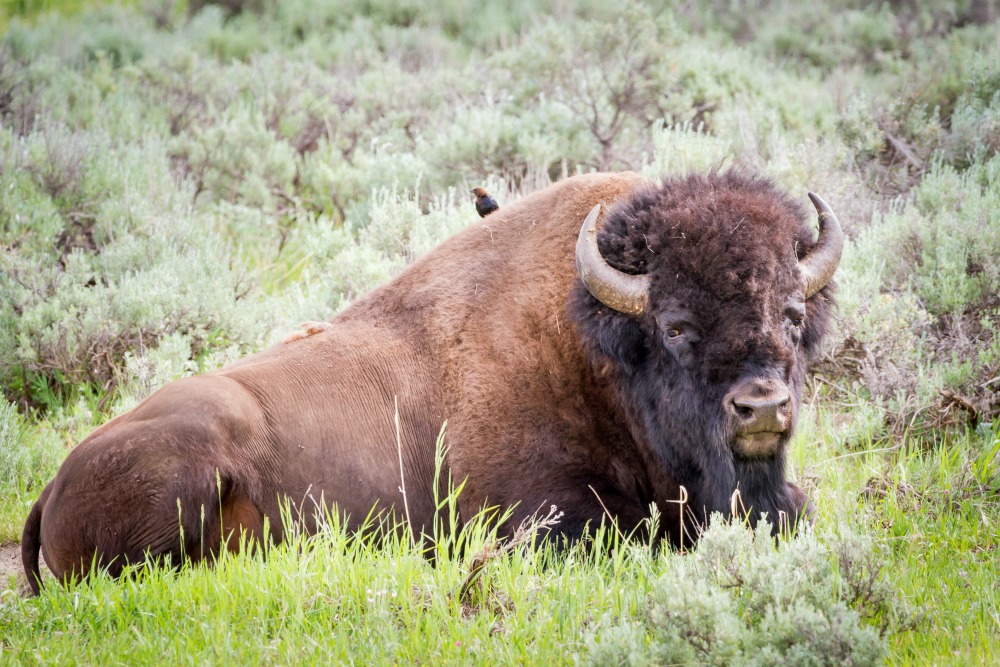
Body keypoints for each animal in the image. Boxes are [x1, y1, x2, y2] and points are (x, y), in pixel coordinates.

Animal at [21, 172, 844, 596]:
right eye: (674, 324)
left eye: (793, 312)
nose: (761, 407)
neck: (591, 347)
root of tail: (53, 484)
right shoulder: (540, 521)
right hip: (183, 473)